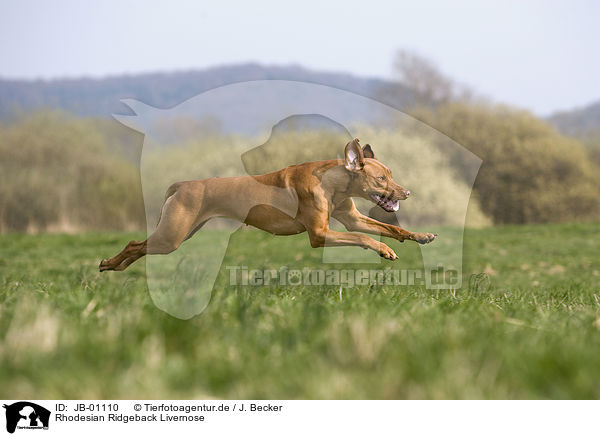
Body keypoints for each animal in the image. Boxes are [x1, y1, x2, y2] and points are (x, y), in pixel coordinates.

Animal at [98, 139, 436, 272]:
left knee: (140, 247)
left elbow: (390, 227)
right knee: (134, 244)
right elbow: (364, 237)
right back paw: (111, 264)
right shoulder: (319, 235)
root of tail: (184, 184)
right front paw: (385, 250)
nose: (406, 192)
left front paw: (420, 236)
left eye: (391, 174)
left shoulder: (350, 218)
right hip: (172, 236)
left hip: (183, 231)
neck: (334, 183)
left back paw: (118, 266)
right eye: (381, 179)